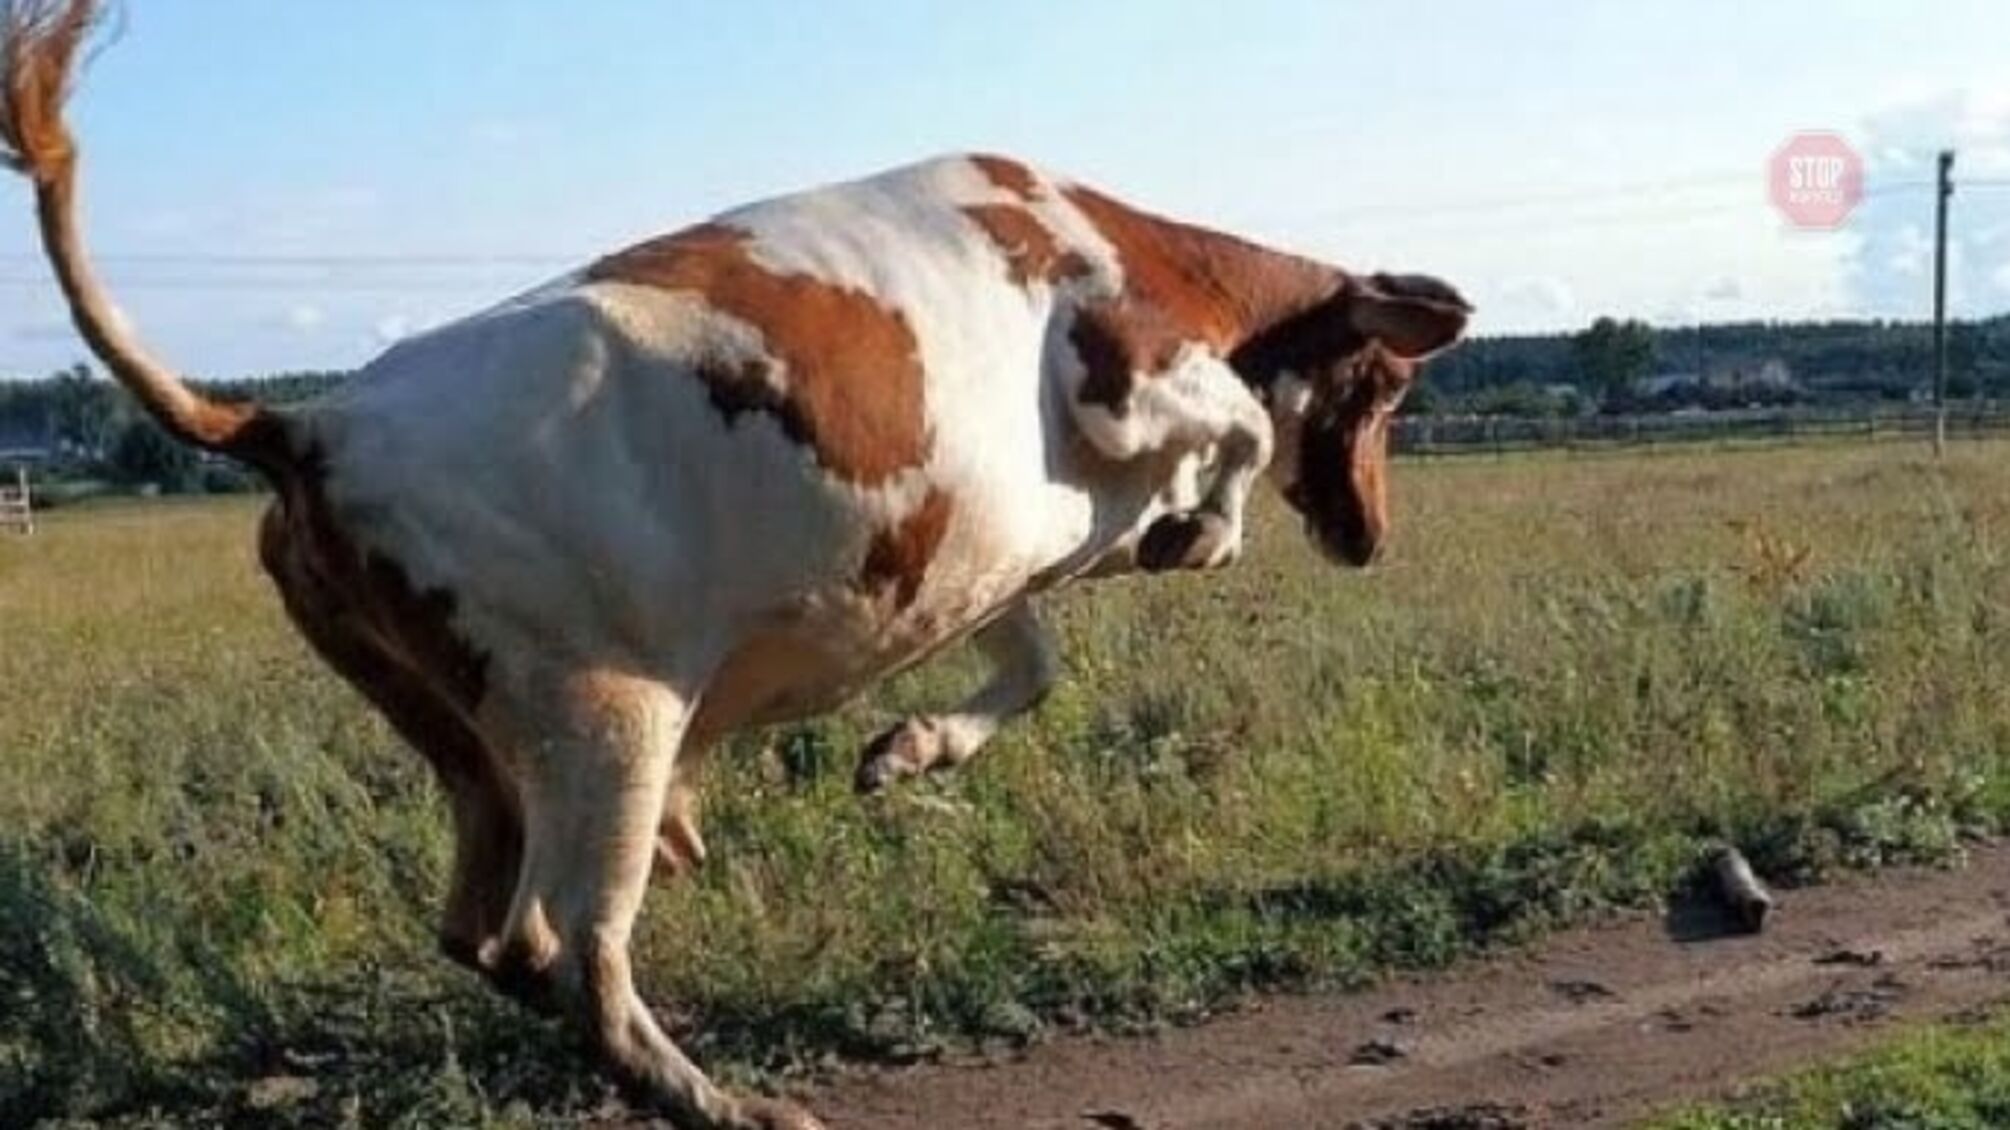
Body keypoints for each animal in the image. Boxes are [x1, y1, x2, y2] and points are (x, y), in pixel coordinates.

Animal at [0, 4, 1469, 1127]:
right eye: (1391, 385)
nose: (1370, 535)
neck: (1144, 252)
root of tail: (303, 422)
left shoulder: (994, 561)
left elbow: (1034, 662)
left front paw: (906, 751)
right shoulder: (1130, 380)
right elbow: (1232, 439)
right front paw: (1196, 529)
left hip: (473, 745)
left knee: (485, 932)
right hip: (607, 713)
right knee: (568, 945)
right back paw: (730, 1101)